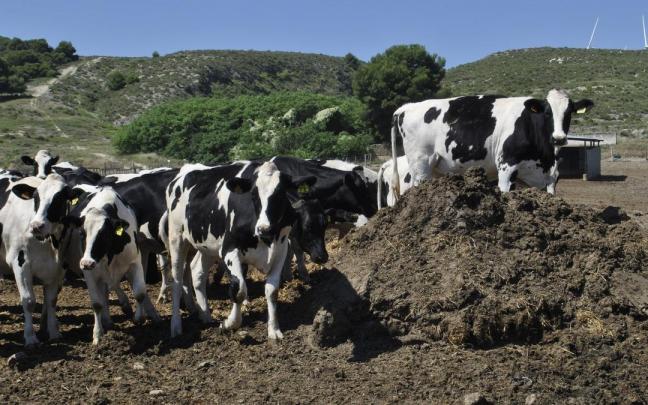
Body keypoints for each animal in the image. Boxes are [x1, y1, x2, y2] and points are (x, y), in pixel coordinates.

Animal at [62, 187, 161, 344]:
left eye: (103, 234)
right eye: (82, 233)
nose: (86, 263)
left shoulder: (135, 262)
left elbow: (139, 293)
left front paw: (139, 318)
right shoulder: (90, 273)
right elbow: (97, 303)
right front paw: (97, 334)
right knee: (106, 291)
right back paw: (108, 319)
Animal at [165, 161, 328, 339]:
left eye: (279, 195)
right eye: (254, 195)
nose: (264, 228)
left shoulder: (280, 249)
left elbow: (272, 291)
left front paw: (274, 330)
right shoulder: (229, 249)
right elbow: (239, 289)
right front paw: (229, 324)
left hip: (208, 246)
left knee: (197, 272)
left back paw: (206, 315)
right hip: (176, 237)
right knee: (177, 280)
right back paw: (176, 326)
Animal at [390, 89, 594, 198]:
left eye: (569, 112)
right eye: (547, 112)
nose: (559, 138)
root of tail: (407, 107)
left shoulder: (551, 177)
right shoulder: (506, 166)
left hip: (435, 168)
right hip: (421, 163)